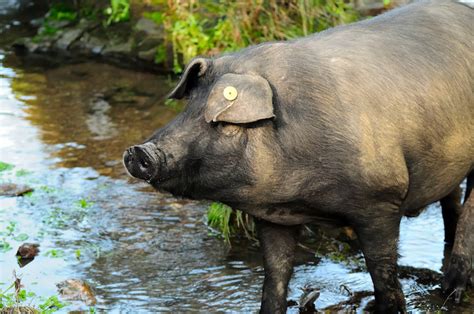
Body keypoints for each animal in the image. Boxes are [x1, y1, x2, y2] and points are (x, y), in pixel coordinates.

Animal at [124, 1, 472, 312]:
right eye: (188, 109)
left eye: (223, 123)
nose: (138, 151)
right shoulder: (273, 217)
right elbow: (275, 272)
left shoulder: (381, 199)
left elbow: (382, 269)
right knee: (451, 200)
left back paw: (451, 292)